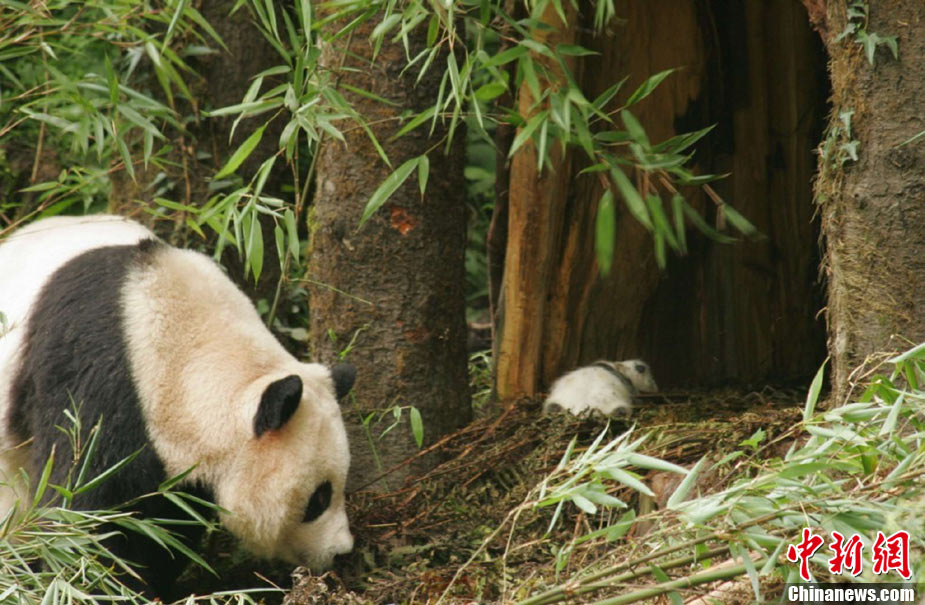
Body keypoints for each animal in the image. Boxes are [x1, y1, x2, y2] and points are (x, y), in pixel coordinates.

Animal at [0, 215, 355, 594]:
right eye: (319, 498)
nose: (341, 551)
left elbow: (170, 523)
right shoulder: (94, 376)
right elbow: (84, 503)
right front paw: (106, 583)